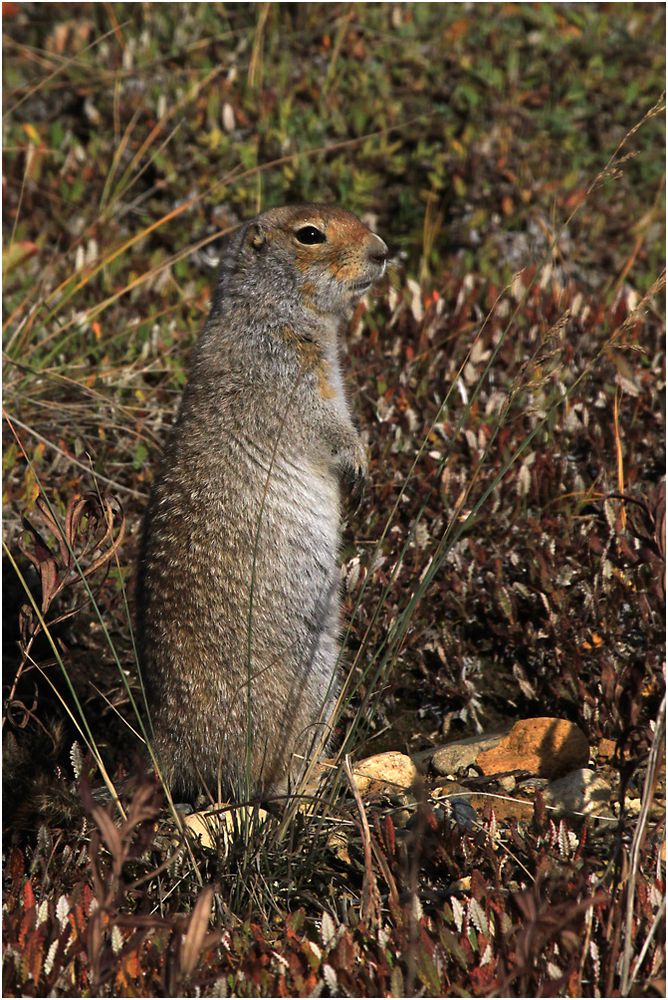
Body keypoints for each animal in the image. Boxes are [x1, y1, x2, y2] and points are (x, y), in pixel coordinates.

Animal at [136, 207, 386, 800]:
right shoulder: (286, 373)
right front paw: (359, 461)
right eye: (310, 234)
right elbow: (326, 427)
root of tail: (168, 744)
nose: (383, 250)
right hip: (308, 688)